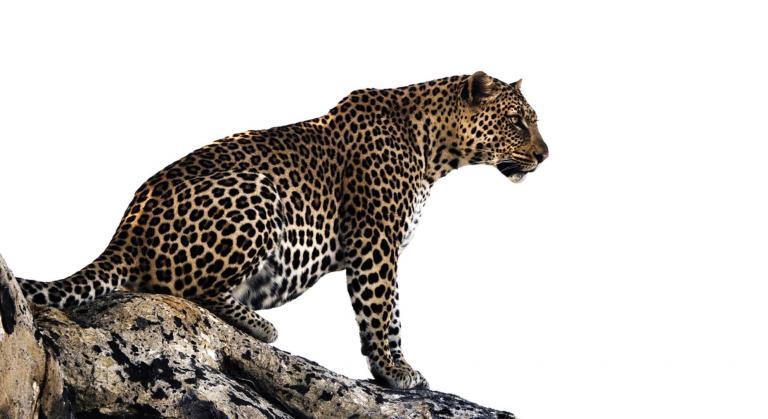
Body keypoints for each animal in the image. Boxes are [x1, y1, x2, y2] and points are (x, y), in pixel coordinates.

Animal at [17, 71, 548, 389]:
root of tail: (125, 231)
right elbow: (383, 309)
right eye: (517, 122)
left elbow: (389, 310)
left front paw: (396, 368)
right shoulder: (376, 240)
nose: (545, 155)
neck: (434, 147)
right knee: (184, 288)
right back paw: (258, 325)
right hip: (258, 190)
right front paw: (394, 369)